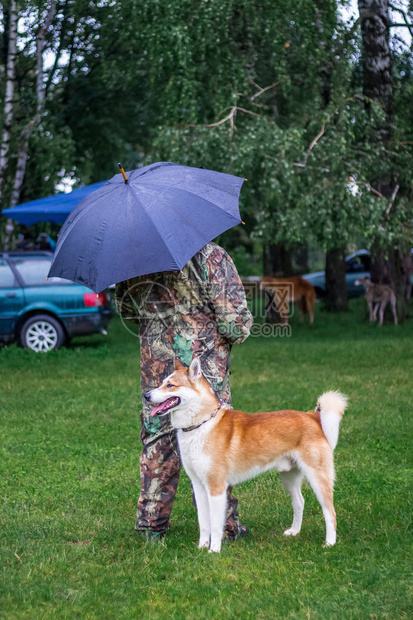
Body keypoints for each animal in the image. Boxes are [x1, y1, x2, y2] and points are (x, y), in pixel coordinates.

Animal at [146, 356, 346, 556]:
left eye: (170, 385)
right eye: (162, 382)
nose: (146, 396)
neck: (201, 425)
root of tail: (312, 416)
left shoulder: (216, 488)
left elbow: (215, 525)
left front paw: (214, 551)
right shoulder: (199, 486)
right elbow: (204, 523)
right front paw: (202, 547)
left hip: (317, 477)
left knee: (330, 512)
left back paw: (330, 543)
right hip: (288, 476)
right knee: (299, 502)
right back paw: (294, 531)